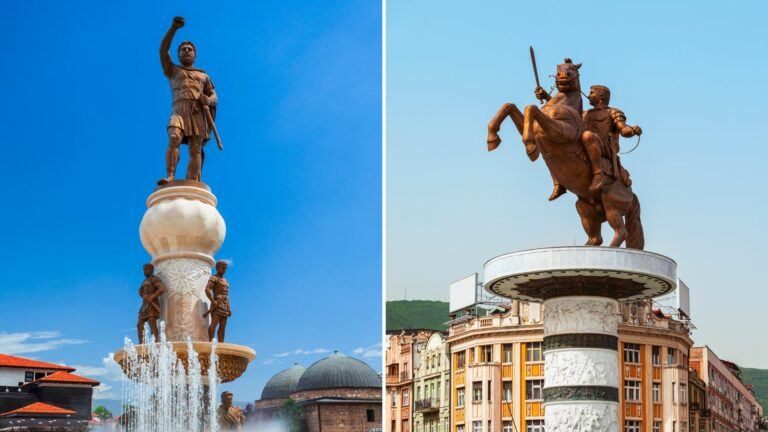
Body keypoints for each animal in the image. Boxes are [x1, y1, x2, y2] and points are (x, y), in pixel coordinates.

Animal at [486, 60, 640, 250]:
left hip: (612, 205)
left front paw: (530, 147)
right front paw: (492, 138)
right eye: (558, 68)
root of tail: (630, 191)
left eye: (572, 69)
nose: (562, 76)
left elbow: (531, 108)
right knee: (596, 238)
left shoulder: (562, 132)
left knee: (621, 231)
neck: (563, 104)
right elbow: (510, 106)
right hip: (585, 207)